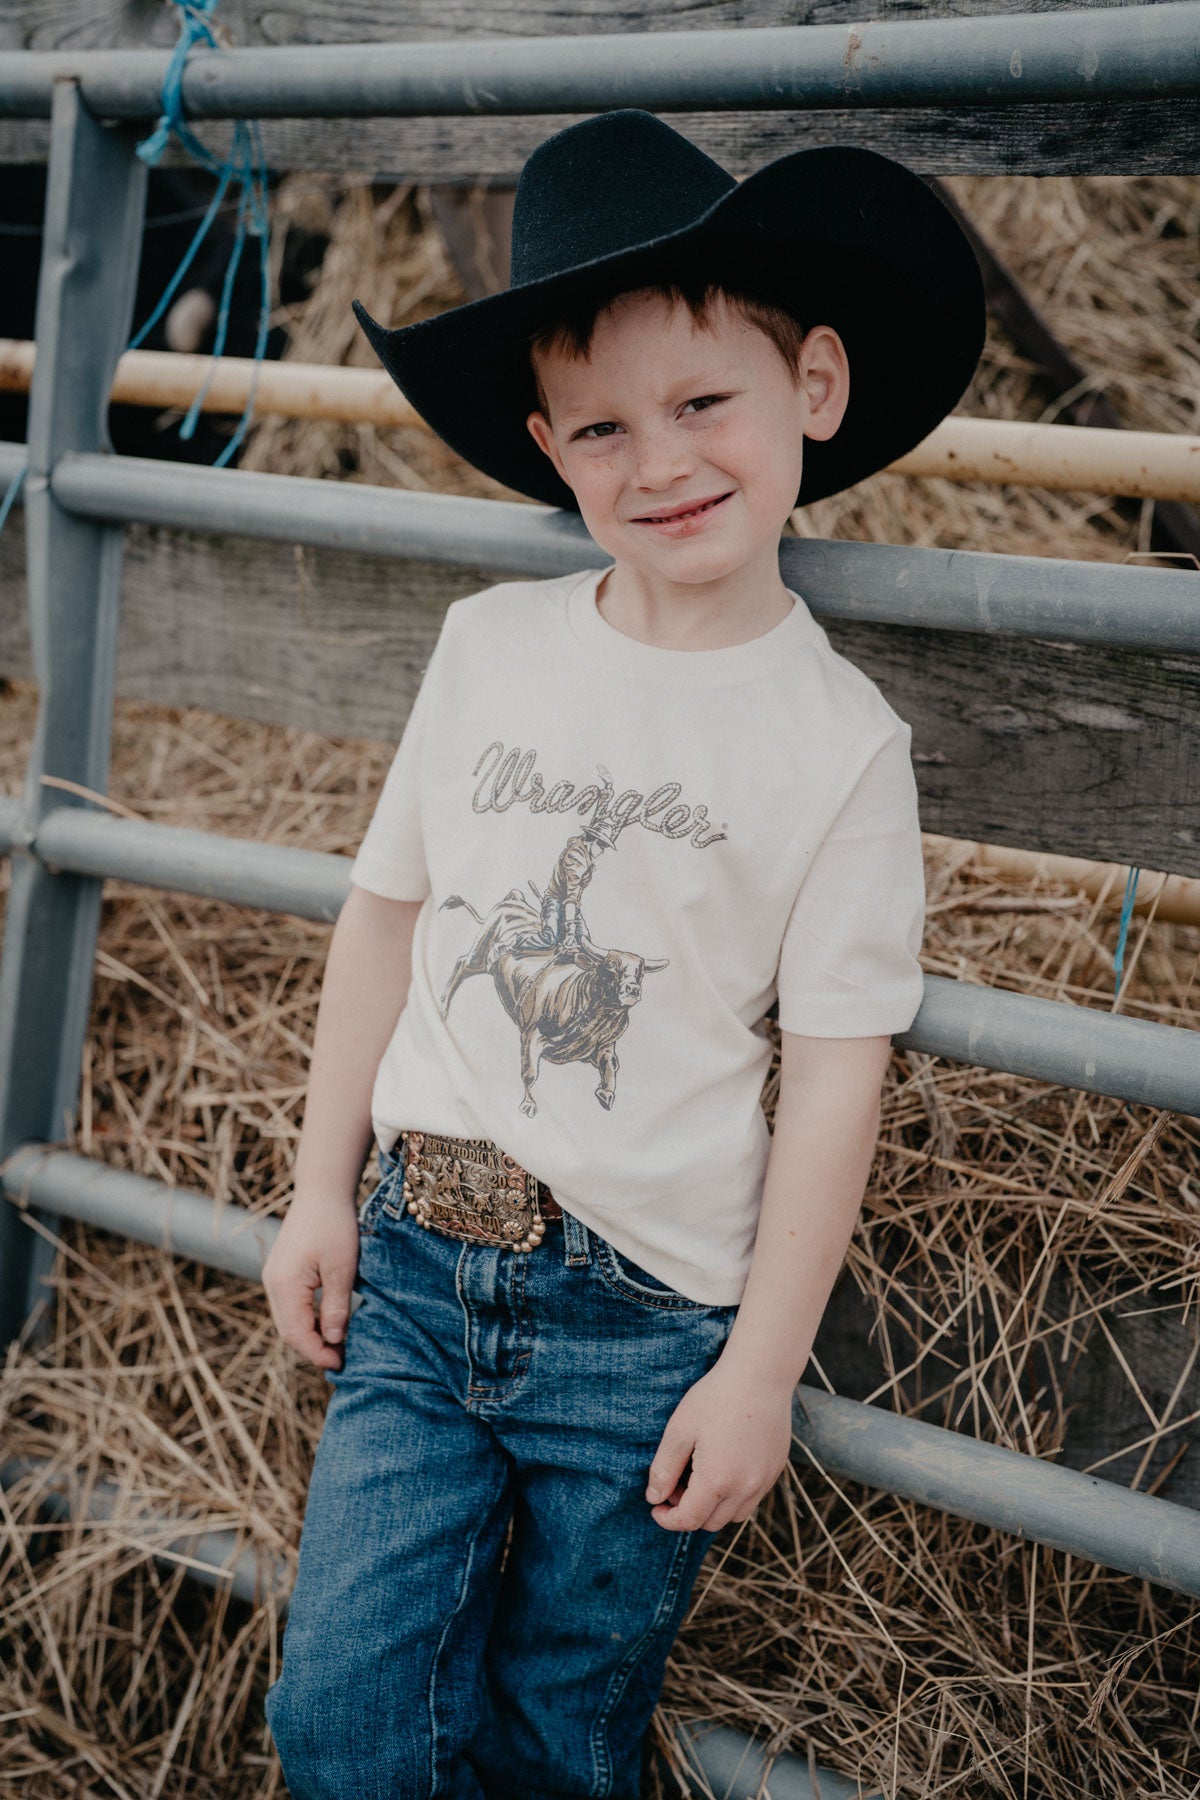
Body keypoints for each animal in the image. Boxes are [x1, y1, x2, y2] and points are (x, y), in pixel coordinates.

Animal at [438, 888, 667, 1116]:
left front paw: (606, 1093)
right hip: (479, 955)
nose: (632, 988)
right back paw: (443, 1009)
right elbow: (529, 1072)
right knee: (462, 964)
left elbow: (610, 1065)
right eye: (611, 965)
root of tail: (513, 900)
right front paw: (528, 1104)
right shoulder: (530, 1035)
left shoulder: (604, 1046)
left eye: (640, 972)